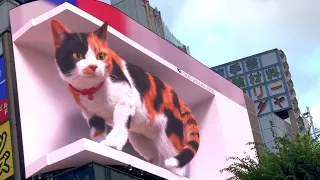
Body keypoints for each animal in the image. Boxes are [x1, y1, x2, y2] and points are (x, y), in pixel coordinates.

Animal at [50, 18, 200, 176]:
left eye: (101, 56)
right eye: (77, 55)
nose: (93, 66)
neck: (93, 91)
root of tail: (176, 96)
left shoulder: (125, 100)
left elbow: (120, 122)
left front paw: (112, 143)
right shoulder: (91, 114)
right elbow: (96, 131)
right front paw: (98, 144)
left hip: (169, 133)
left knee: (177, 159)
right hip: (140, 136)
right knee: (155, 155)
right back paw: (155, 166)